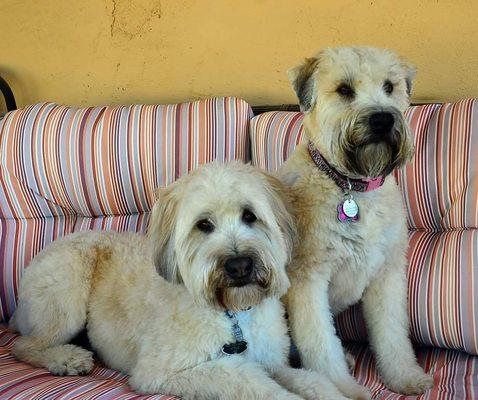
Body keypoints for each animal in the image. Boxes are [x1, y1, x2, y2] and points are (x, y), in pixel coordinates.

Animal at [9, 162, 346, 400]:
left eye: (249, 216)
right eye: (204, 225)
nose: (239, 266)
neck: (233, 314)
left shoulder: (274, 363)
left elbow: (311, 380)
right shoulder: (163, 371)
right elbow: (247, 380)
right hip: (66, 290)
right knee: (24, 346)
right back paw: (65, 358)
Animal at [278, 46, 436, 396]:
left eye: (390, 86)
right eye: (344, 90)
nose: (382, 119)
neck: (351, 186)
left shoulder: (387, 273)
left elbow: (392, 334)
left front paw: (405, 376)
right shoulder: (308, 280)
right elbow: (321, 344)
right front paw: (343, 388)